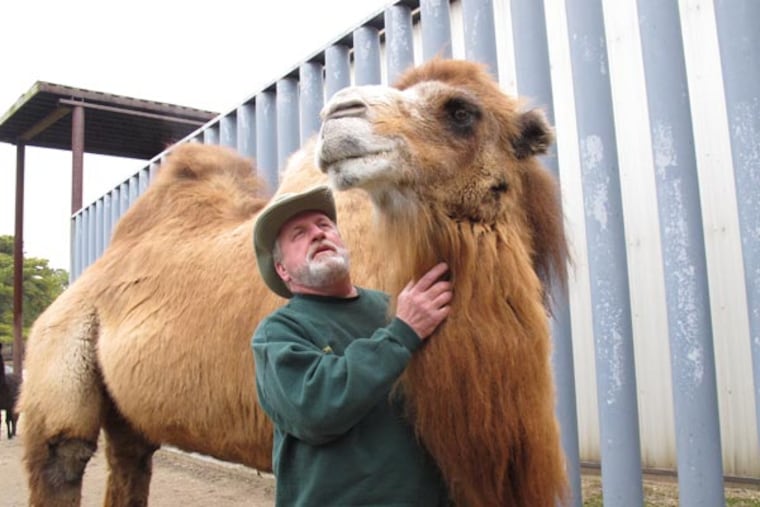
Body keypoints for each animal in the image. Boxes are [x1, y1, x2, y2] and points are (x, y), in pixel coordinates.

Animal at [18, 58, 568, 506]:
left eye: (460, 111)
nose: (339, 113)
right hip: (54, 355)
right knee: (62, 453)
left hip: (128, 409)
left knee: (131, 455)